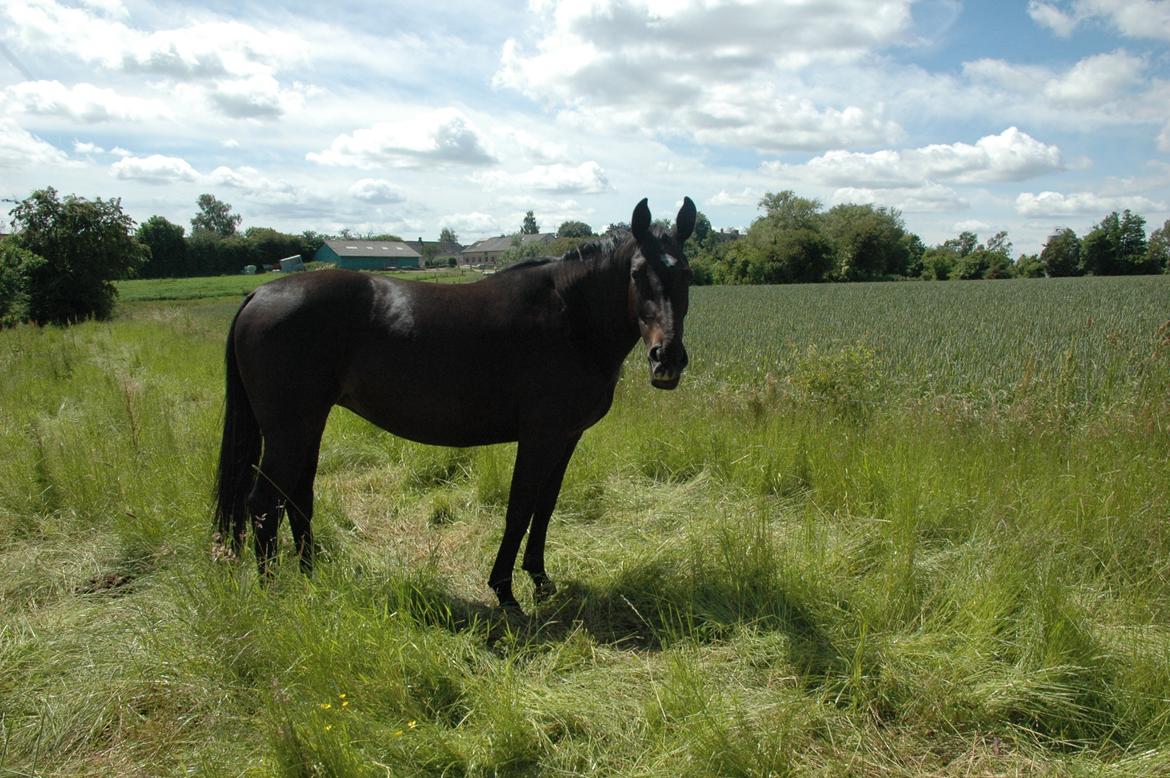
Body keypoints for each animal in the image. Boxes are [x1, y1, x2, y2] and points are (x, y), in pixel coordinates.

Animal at [215, 197, 692, 608]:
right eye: (637, 273)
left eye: (686, 274)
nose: (666, 359)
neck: (569, 316)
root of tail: (259, 295)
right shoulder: (539, 437)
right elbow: (519, 508)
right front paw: (505, 591)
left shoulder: (566, 437)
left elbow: (545, 507)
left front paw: (540, 580)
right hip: (289, 430)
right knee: (263, 504)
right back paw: (274, 595)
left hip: (307, 425)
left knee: (297, 498)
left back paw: (312, 579)